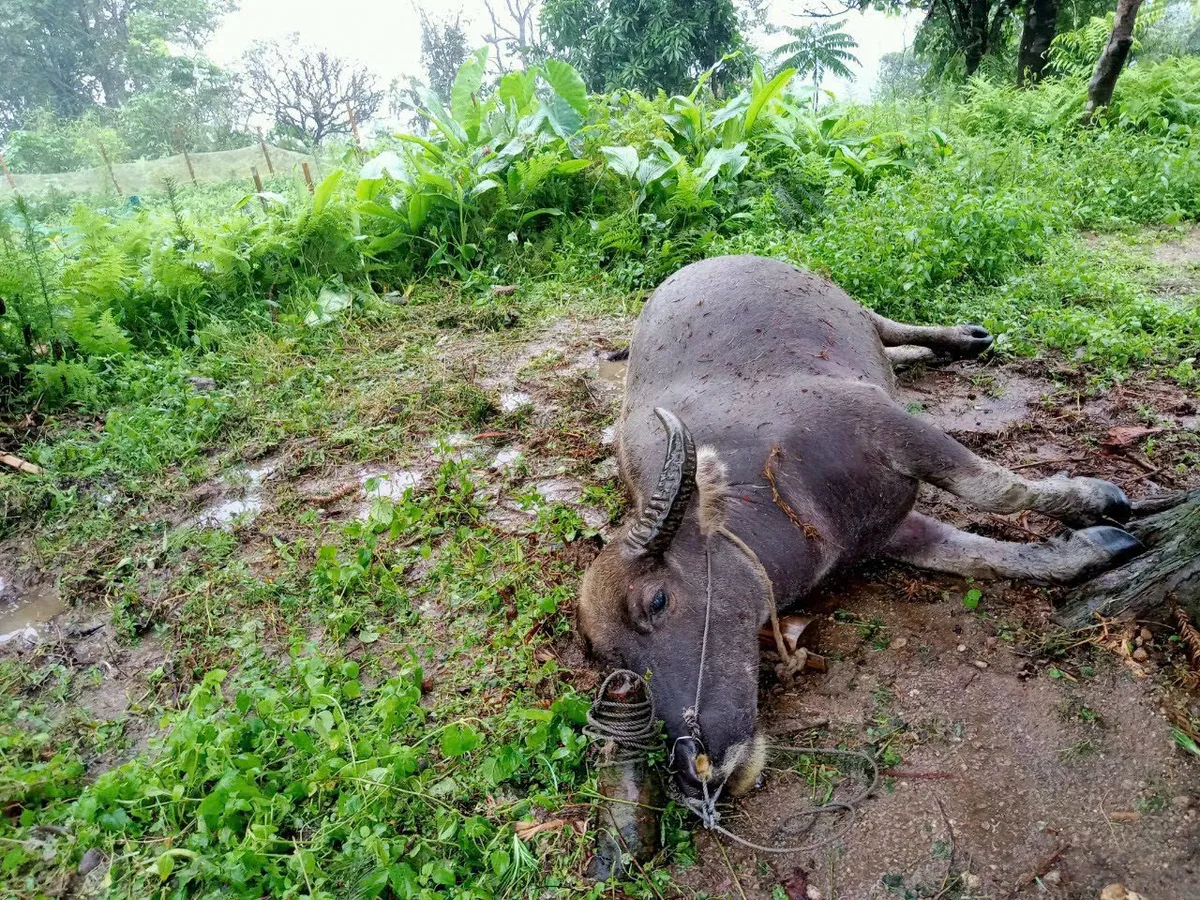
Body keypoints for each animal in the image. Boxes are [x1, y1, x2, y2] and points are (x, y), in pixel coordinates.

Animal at [576, 255, 1137, 811]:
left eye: (657, 600)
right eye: (615, 663)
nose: (694, 774)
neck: (765, 478)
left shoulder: (888, 425)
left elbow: (997, 489)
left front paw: (1096, 500)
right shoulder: (894, 532)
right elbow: (979, 557)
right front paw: (1087, 548)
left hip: (852, 306)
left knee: (891, 326)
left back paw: (965, 337)